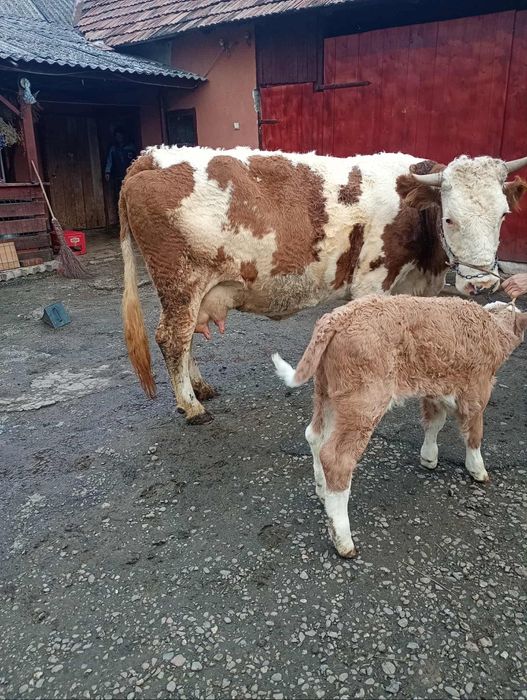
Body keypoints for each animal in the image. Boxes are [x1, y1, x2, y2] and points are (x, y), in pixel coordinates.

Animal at [119, 146, 527, 423]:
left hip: (189, 290)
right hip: (180, 281)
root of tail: (150, 156)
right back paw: (191, 405)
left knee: (186, 337)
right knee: (172, 338)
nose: (482, 283)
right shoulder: (372, 282)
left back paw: (200, 388)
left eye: (504, 215)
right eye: (450, 218)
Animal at [272, 295, 527, 558]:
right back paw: (343, 538)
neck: (493, 327)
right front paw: (478, 469)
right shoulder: (477, 391)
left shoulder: (434, 389)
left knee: (315, 436)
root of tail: (337, 317)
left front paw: (429, 457)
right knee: (337, 459)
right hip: (365, 402)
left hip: (327, 392)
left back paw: (322, 490)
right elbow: (474, 434)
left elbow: (434, 423)